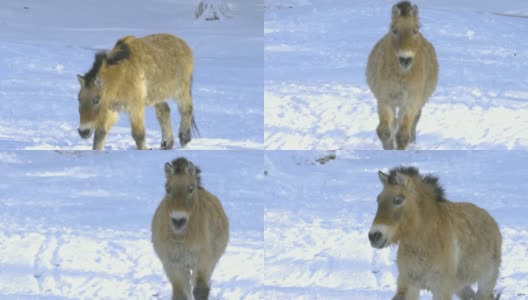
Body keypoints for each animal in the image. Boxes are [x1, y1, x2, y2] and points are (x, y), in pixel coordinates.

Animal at [151, 158, 229, 298]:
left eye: (190, 188)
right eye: (167, 189)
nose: (178, 221)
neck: (181, 238)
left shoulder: (202, 259)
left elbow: (200, 289)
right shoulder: (173, 265)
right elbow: (181, 294)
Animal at [368, 0, 438, 149]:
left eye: (415, 30)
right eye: (394, 29)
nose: (405, 59)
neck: (402, 76)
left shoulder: (410, 102)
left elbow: (402, 135)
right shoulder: (385, 99)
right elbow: (384, 131)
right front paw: (389, 148)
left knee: (414, 121)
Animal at [370, 166, 502, 300]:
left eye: (398, 199)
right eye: (378, 199)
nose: (374, 236)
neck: (427, 240)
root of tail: (490, 219)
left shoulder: (441, 288)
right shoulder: (409, 283)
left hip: (486, 281)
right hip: (460, 286)